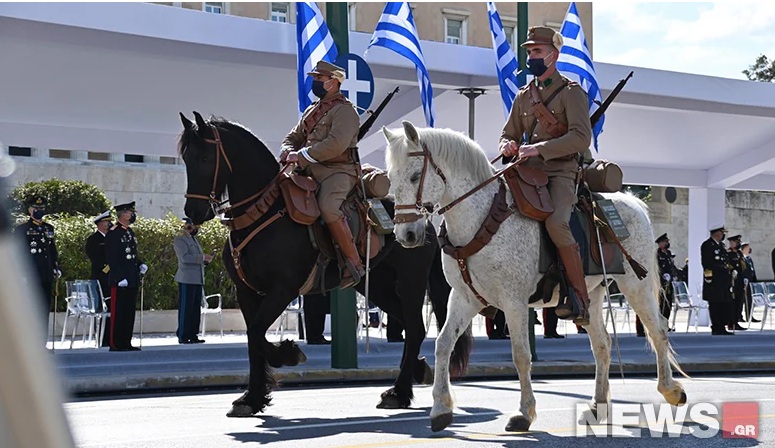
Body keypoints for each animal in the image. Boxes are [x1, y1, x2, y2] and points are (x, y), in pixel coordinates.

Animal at [180, 112, 472, 416]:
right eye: (185, 158)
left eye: (205, 158)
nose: (193, 212)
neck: (264, 213)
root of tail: (423, 217)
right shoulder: (246, 292)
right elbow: (252, 339)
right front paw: (252, 397)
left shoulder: (283, 289)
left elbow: (257, 333)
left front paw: (287, 354)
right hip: (377, 286)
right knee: (409, 325)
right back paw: (414, 372)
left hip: (410, 282)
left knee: (415, 328)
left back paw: (399, 391)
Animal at [384, 121, 688, 432]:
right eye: (390, 178)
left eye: (415, 176)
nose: (406, 235)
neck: (482, 219)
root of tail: (634, 202)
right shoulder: (465, 298)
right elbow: (444, 344)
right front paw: (440, 408)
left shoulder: (514, 302)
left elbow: (521, 355)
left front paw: (524, 413)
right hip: (590, 294)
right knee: (602, 344)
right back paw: (598, 405)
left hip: (636, 285)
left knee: (658, 329)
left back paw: (670, 390)